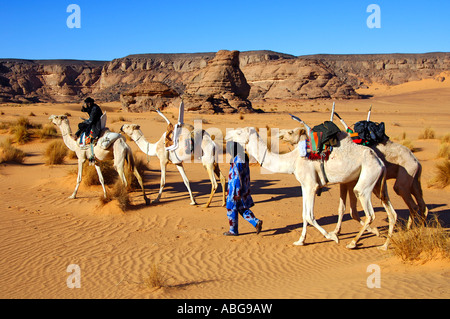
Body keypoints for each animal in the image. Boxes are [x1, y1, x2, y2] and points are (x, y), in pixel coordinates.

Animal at [227, 127, 396, 250]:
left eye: (239, 132)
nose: (228, 134)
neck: (292, 160)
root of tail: (379, 160)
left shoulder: (311, 185)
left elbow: (309, 216)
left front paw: (332, 237)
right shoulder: (304, 185)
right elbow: (303, 215)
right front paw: (300, 241)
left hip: (366, 181)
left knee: (370, 213)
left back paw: (353, 242)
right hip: (377, 182)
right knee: (391, 212)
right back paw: (384, 245)